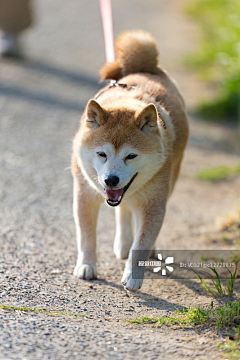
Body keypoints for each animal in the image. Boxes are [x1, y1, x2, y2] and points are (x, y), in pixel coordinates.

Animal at [72, 29, 188, 292]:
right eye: (101, 154)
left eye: (131, 156)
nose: (111, 180)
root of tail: (146, 68)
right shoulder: (85, 194)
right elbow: (86, 235)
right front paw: (87, 265)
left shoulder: (153, 203)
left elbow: (142, 242)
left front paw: (133, 275)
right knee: (123, 211)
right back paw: (122, 243)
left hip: (169, 182)